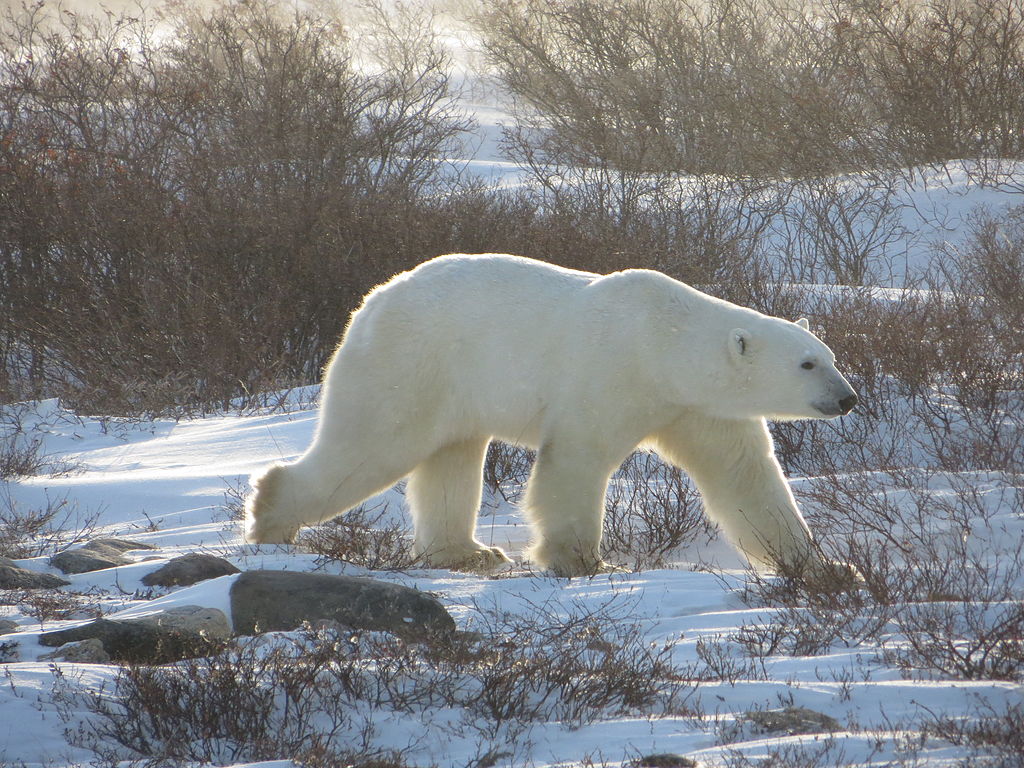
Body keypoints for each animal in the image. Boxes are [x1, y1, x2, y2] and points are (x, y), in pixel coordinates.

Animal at [245, 252, 856, 577]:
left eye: (829, 355)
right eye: (807, 363)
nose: (848, 398)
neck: (665, 343)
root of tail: (371, 301)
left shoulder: (697, 407)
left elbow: (746, 478)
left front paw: (824, 567)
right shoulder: (613, 372)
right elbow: (576, 460)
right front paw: (582, 561)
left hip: (451, 387)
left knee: (450, 460)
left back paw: (468, 552)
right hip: (411, 363)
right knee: (370, 445)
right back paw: (272, 519)